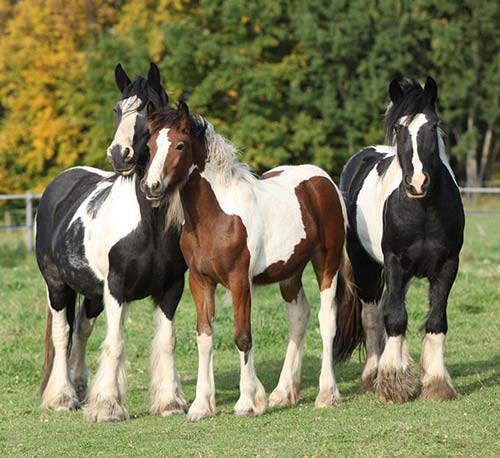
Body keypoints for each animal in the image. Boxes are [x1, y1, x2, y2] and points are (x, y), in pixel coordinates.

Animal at [36, 63, 187, 422]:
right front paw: (107, 406)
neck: (149, 227)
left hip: (92, 293)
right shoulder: (117, 288)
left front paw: (169, 402)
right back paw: (61, 396)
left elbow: (166, 341)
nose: (120, 154)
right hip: (58, 287)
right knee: (62, 335)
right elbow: (115, 343)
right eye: (118, 109)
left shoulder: (171, 288)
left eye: (150, 109)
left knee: (81, 330)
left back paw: (79, 389)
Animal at [141, 102, 364, 420]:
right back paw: (283, 393)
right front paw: (201, 406)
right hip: (290, 272)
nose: (152, 187)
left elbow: (242, 336)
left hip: (327, 263)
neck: (216, 217)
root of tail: (324, 181)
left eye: (180, 146)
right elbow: (204, 337)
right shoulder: (200, 281)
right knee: (299, 317)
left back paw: (326, 393)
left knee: (326, 319)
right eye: (149, 146)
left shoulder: (239, 282)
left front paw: (248, 402)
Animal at [340, 77, 464, 402]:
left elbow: (436, 320)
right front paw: (392, 382)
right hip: (367, 265)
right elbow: (395, 317)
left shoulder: (447, 265)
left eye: (432, 126)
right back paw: (372, 375)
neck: (422, 211)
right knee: (373, 315)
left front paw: (436, 383)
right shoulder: (395, 262)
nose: (417, 183)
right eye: (398, 128)